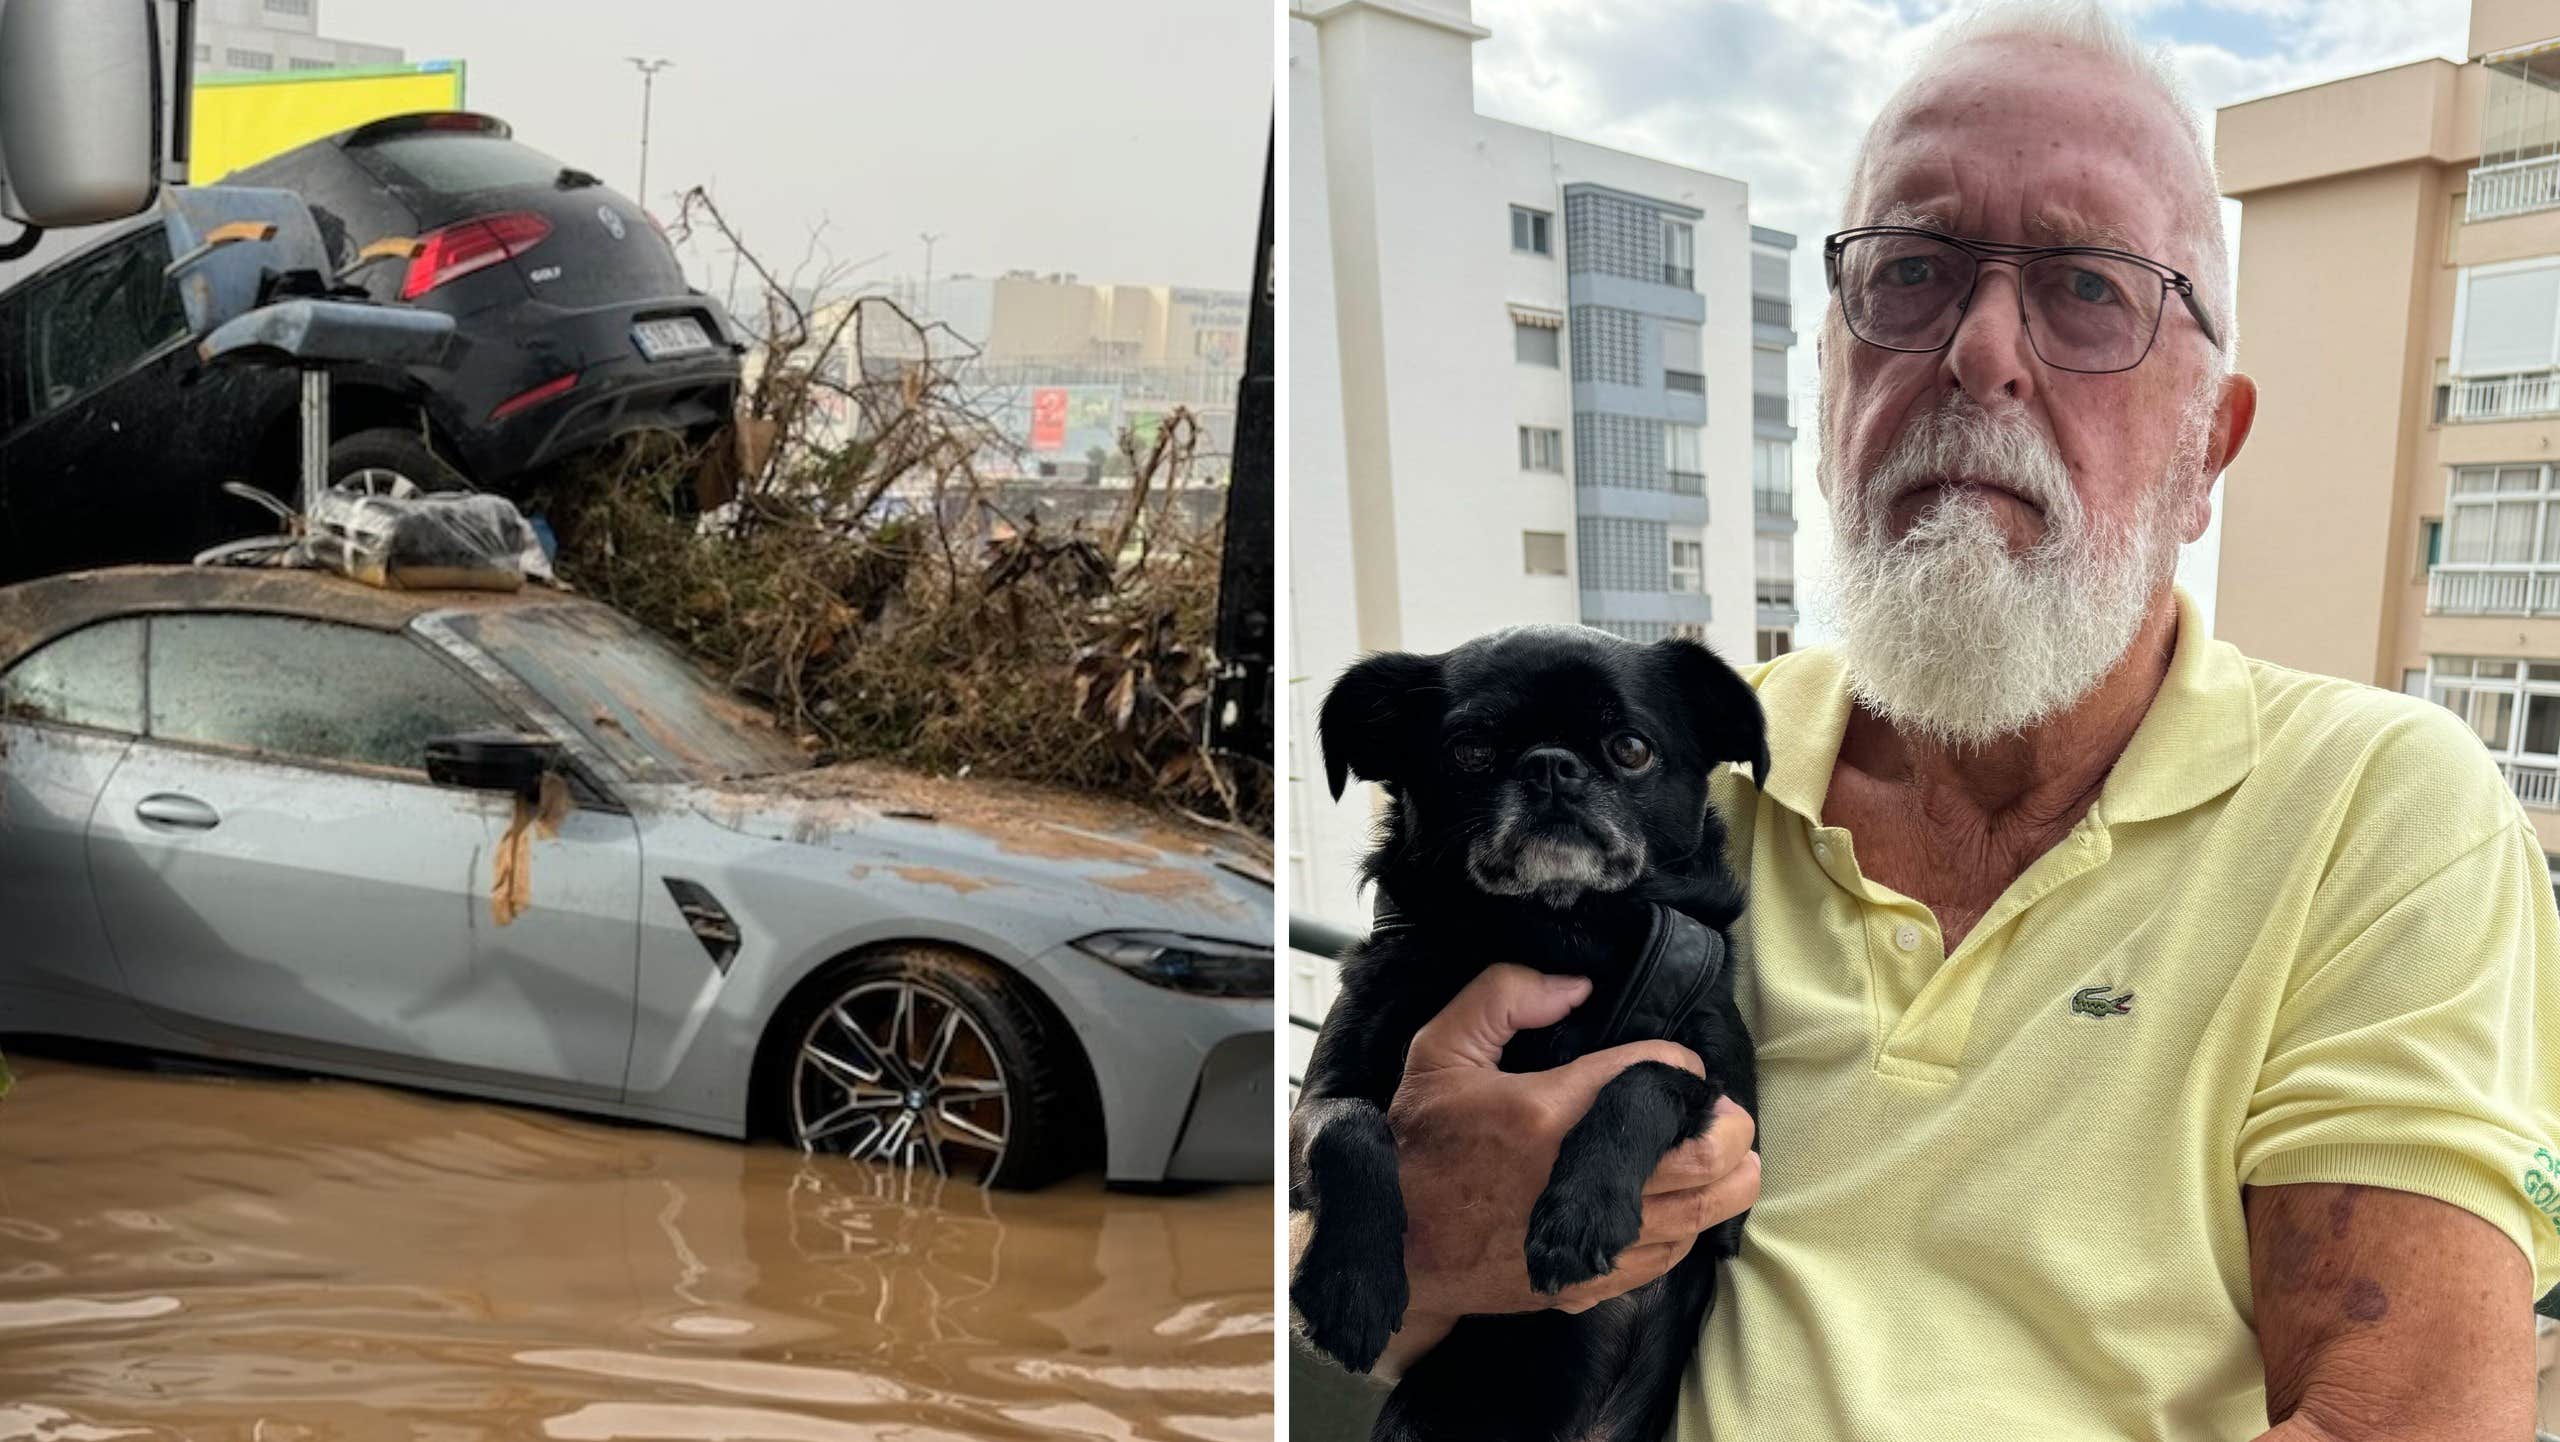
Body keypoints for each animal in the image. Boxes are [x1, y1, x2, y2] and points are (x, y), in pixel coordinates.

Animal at [1300, 622, 1761, 1442]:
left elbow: (1648, 1074)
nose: (1551, 766)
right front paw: (1349, 1286)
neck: (1557, 934)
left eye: (1630, 748)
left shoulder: (1733, 1131)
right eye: (1470, 752)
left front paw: (1580, 1212)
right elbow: (1348, 1125)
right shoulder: (1317, 1099)